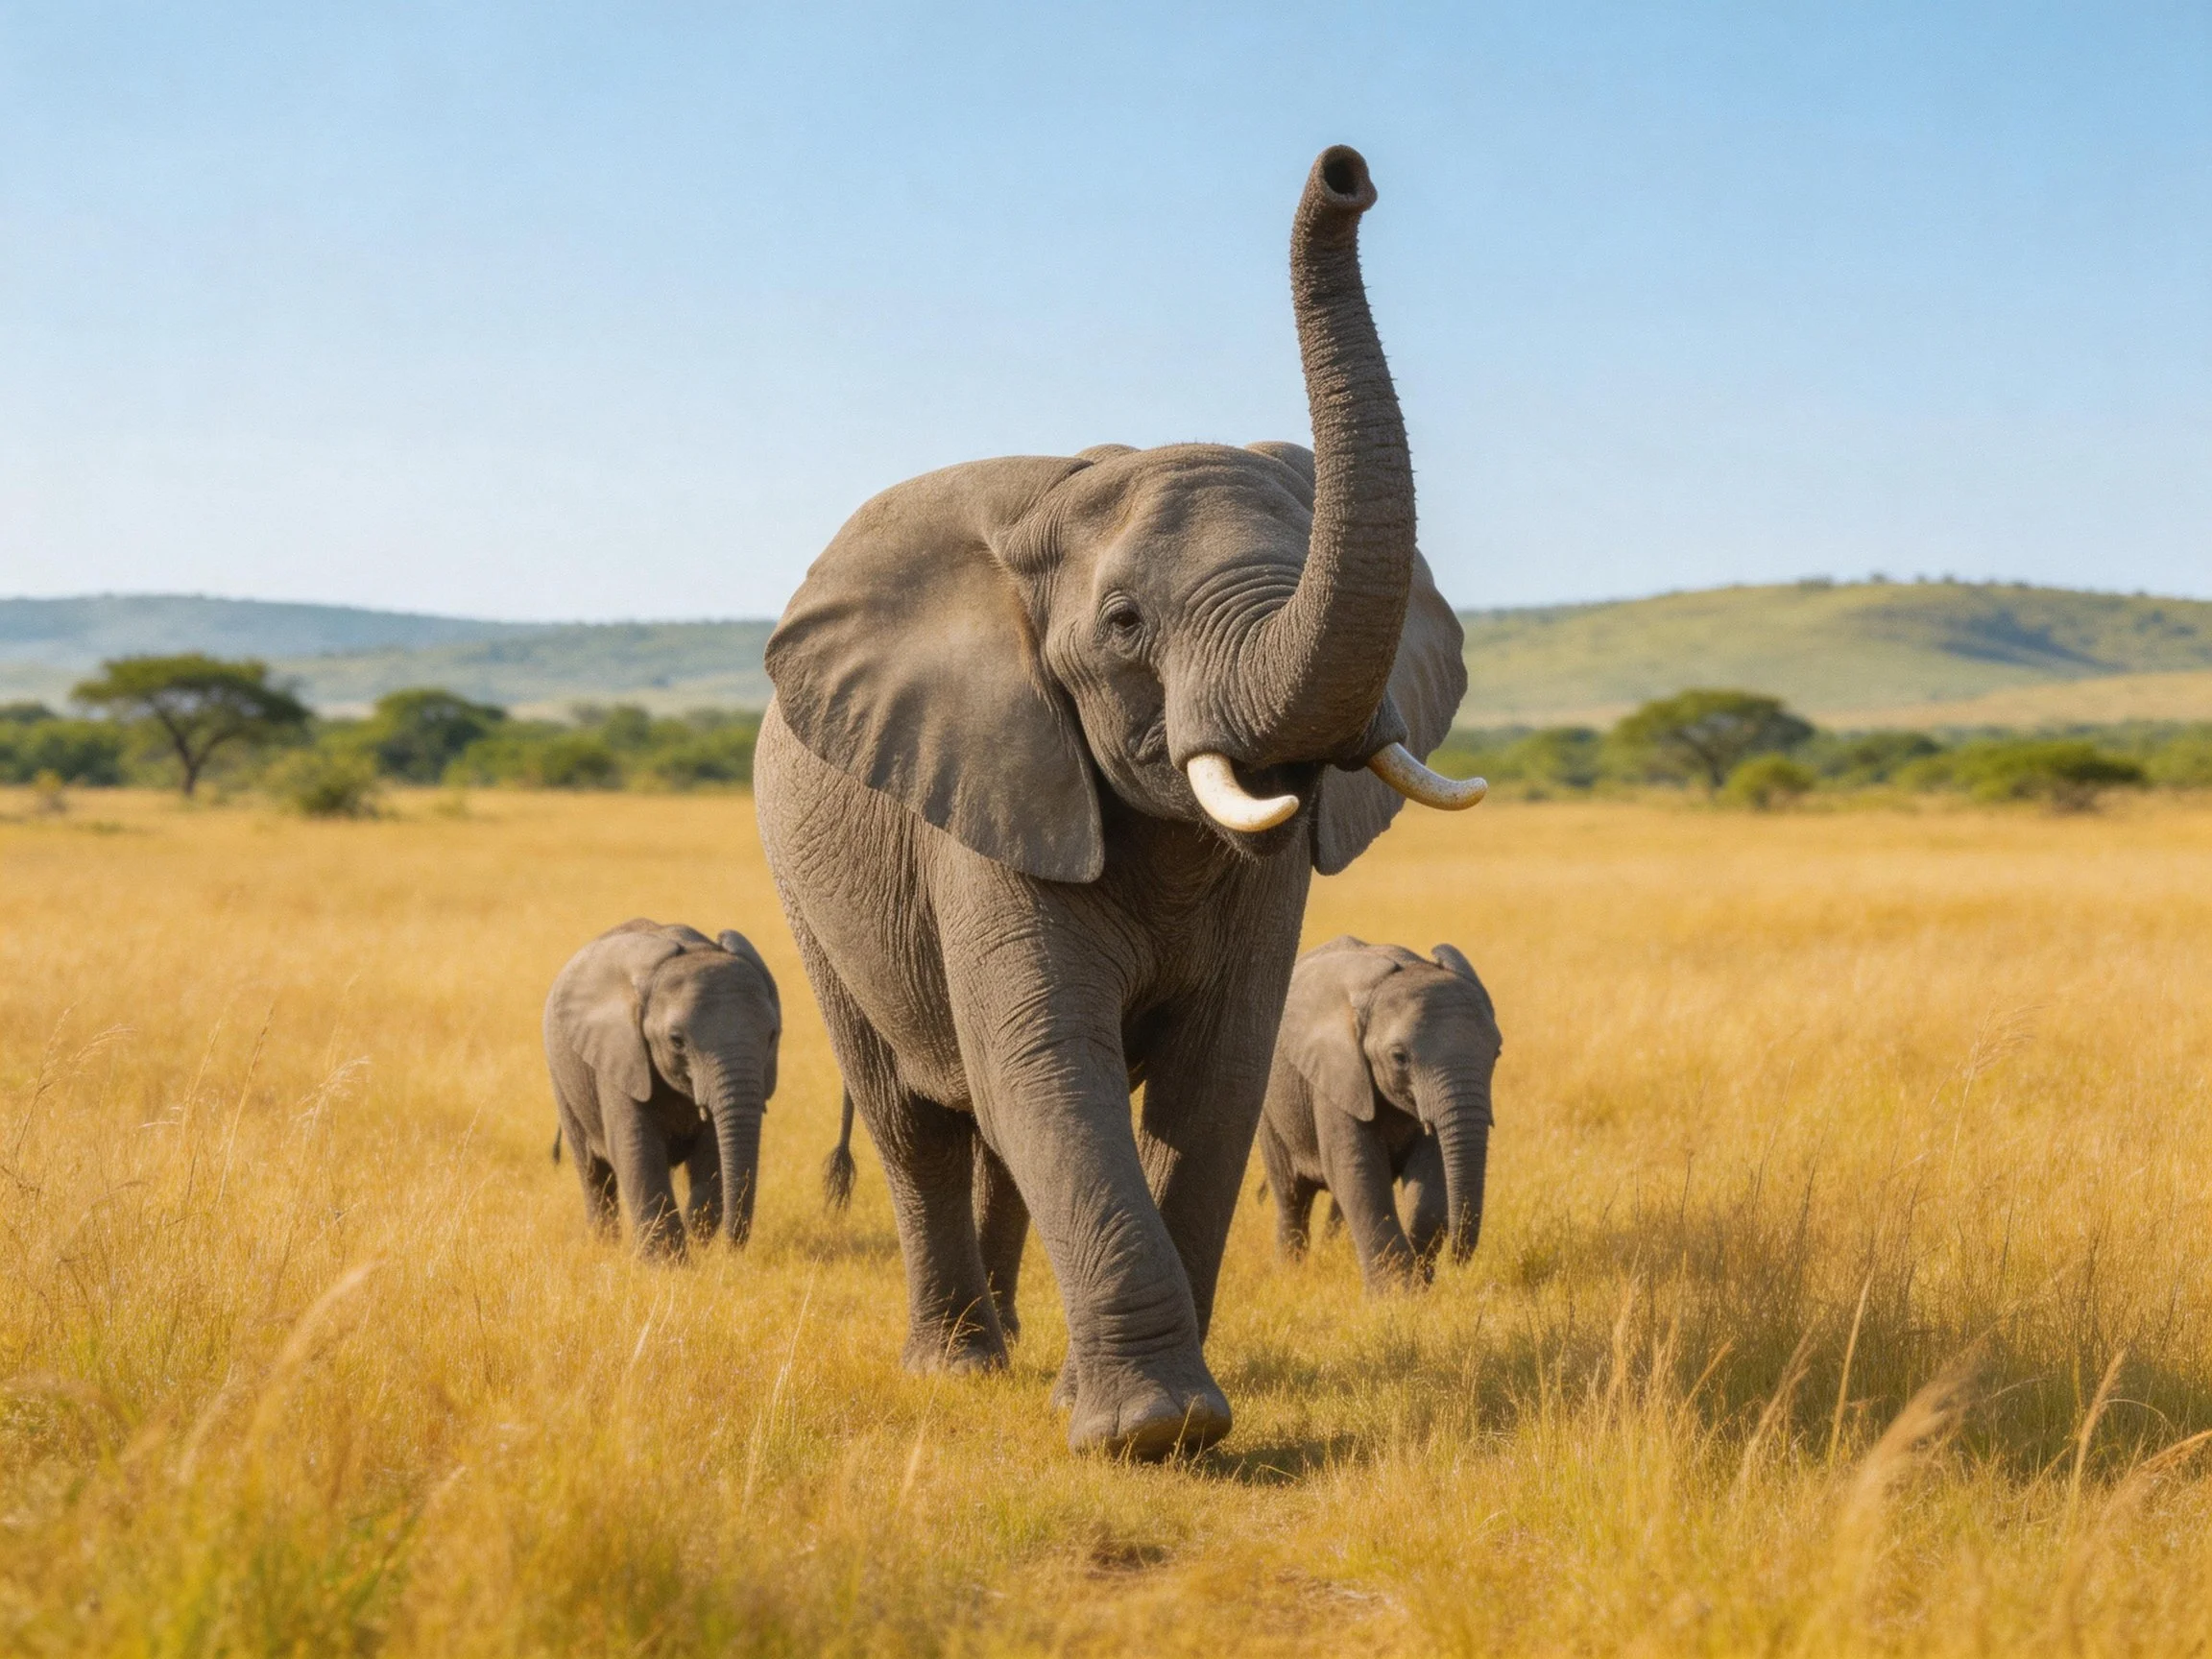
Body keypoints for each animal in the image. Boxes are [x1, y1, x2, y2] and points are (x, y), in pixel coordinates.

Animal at [544, 919, 780, 1256]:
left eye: (772, 1036)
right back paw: (604, 1247)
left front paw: (701, 1247)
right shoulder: (620, 1055)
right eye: (676, 1041)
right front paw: (672, 1263)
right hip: (561, 1076)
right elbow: (636, 1149)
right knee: (593, 1173)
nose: (730, 1249)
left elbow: (711, 1153)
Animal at [1256, 937, 1499, 1293]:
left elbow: (1431, 1181)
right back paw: (1290, 1275)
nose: (1459, 1260)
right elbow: (1360, 1172)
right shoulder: (1338, 1077)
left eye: (1497, 1052)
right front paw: (1396, 1296)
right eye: (1399, 1057)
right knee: (1291, 1195)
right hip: (1270, 1110)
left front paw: (1419, 1286)